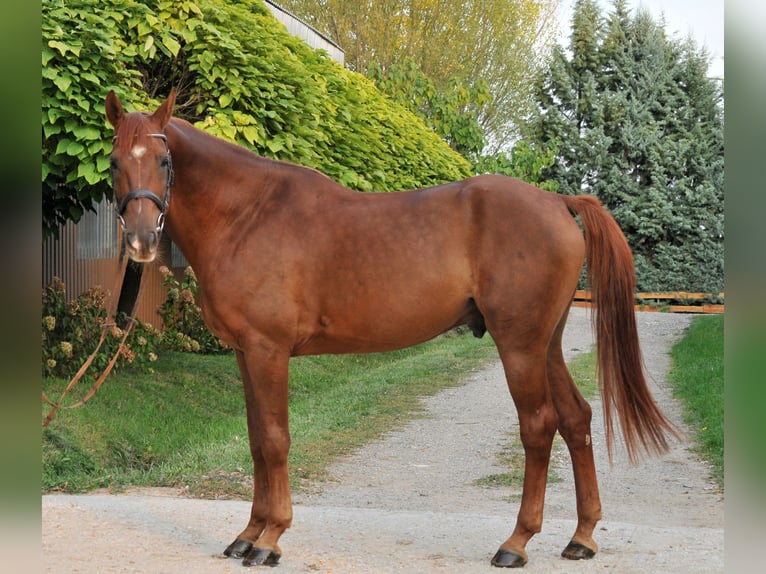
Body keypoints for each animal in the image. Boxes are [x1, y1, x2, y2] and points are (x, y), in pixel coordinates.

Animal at [104, 88, 677, 568]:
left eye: (164, 161)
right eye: (114, 162)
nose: (139, 241)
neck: (248, 214)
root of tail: (558, 201)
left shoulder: (269, 351)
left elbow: (275, 439)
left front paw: (271, 539)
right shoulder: (247, 353)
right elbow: (255, 441)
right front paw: (248, 534)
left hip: (519, 345)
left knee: (539, 426)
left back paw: (516, 543)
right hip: (546, 343)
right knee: (576, 419)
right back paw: (581, 536)